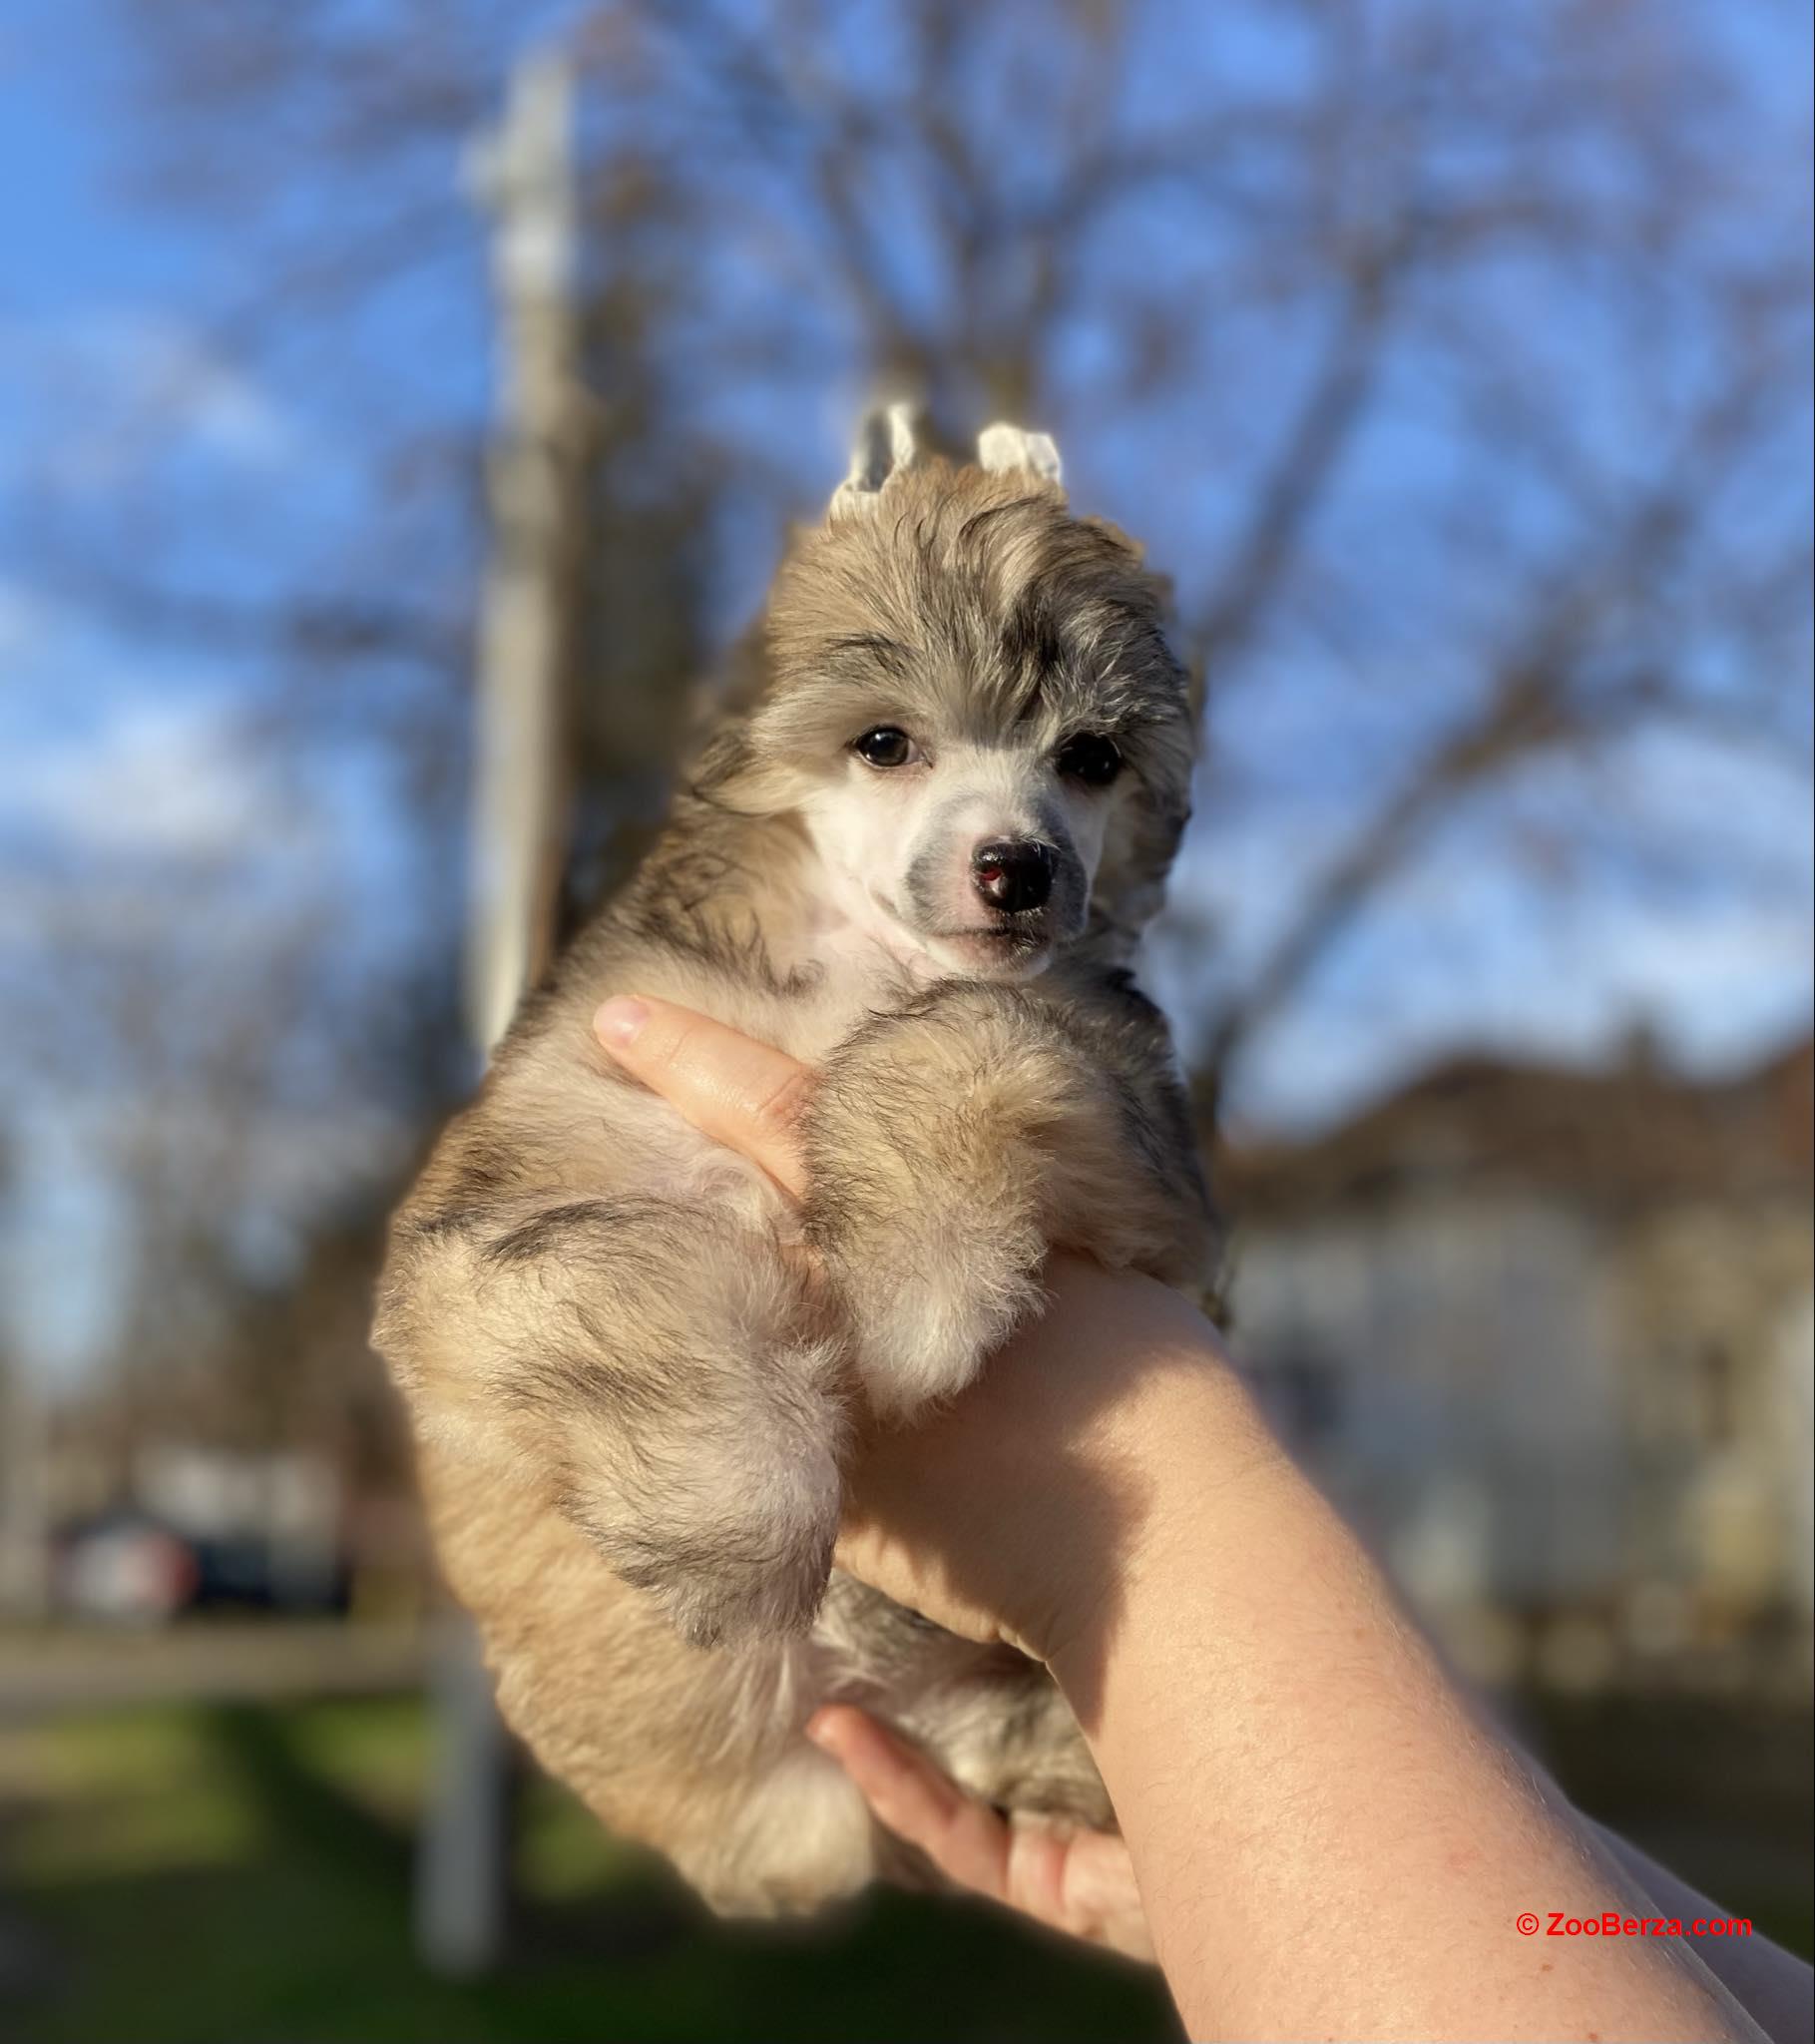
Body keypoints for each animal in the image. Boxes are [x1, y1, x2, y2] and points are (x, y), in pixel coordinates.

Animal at [371, 410, 1217, 1912]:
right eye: (885, 743)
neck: (865, 960)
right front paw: (736, 1504)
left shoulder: (1149, 1166)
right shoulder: (499, 1201)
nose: (1018, 868)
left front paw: (919, 1281)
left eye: (1090, 758)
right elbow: (635, 1284)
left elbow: (980, 1032)